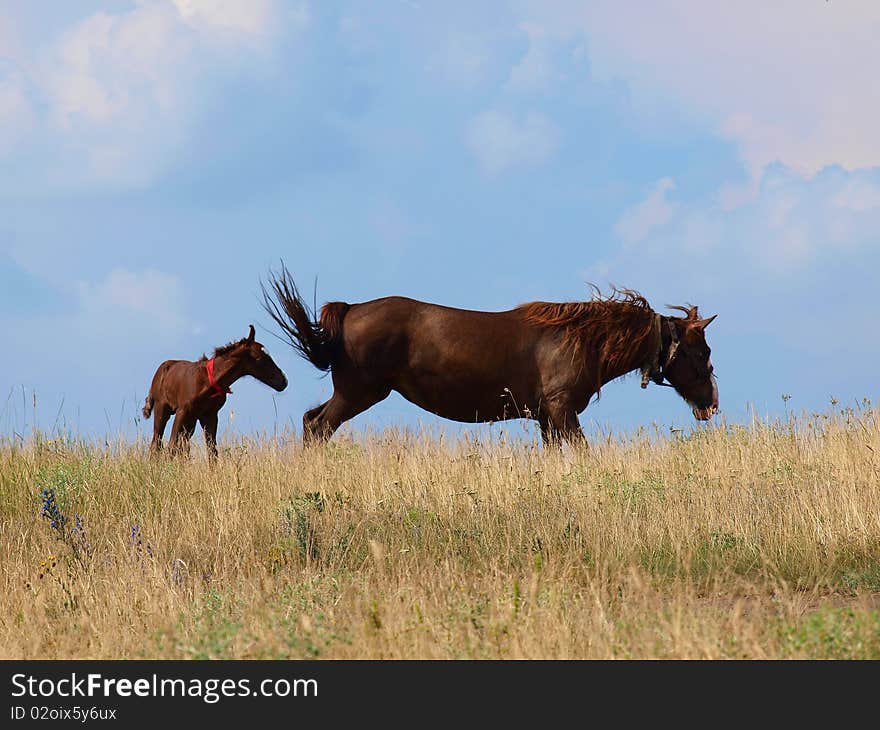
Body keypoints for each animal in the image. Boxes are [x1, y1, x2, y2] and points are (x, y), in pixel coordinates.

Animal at [141, 326, 286, 458]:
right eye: (259, 358)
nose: (283, 381)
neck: (208, 382)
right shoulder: (182, 411)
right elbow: (172, 446)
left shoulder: (209, 415)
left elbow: (212, 451)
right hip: (162, 409)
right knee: (157, 443)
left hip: (191, 421)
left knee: (183, 447)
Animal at [262, 268, 716, 444]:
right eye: (701, 350)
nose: (710, 404)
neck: (579, 338)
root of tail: (351, 309)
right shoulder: (563, 411)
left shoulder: (547, 419)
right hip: (359, 392)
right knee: (318, 426)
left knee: (311, 422)